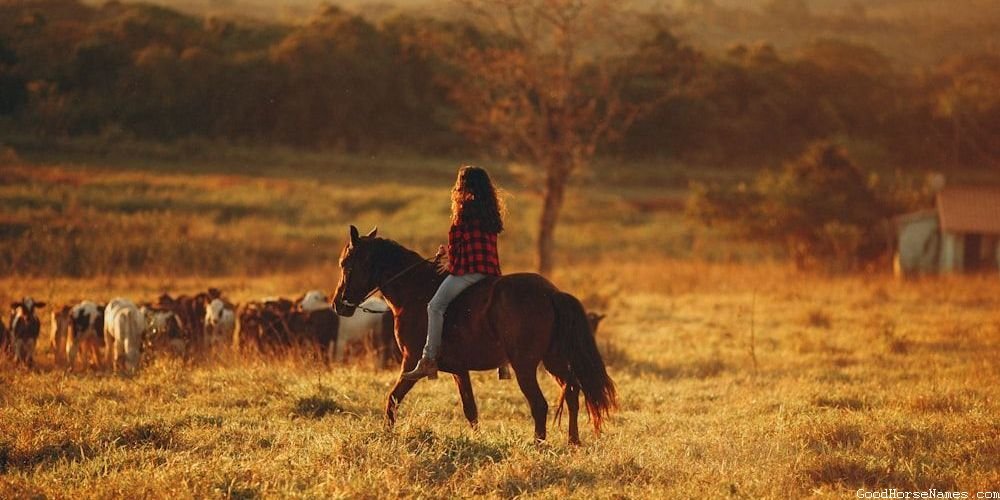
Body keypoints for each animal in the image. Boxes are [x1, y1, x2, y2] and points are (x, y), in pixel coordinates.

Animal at [332, 225, 612, 444]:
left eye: (345, 264)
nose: (338, 305)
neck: (414, 291)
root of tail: (551, 292)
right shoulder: (459, 370)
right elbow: (471, 409)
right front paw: (476, 439)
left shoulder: (411, 362)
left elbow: (392, 398)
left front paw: (386, 435)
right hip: (553, 361)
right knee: (572, 391)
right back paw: (573, 442)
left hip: (525, 366)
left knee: (540, 404)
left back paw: (539, 446)